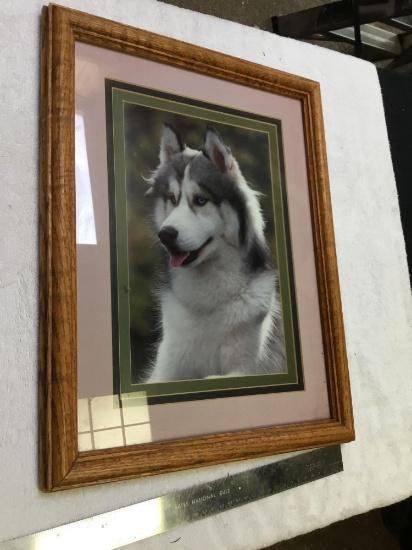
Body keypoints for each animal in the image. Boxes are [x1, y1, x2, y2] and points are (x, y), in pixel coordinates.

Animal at [146, 125, 284, 384]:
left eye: (201, 200)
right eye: (172, 199)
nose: (165, 235)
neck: (208, 304)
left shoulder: (246, 368)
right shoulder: (166, 369)